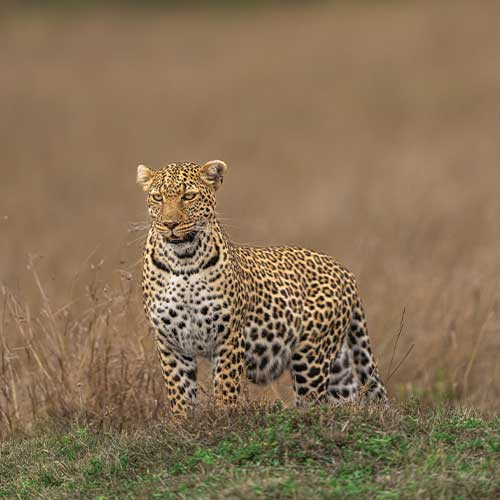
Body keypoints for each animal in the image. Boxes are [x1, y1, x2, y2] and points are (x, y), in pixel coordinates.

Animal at [137, 160, 387, 415]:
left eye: (188, 196)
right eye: (157, 197)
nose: (169, 224)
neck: (183, 262)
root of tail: (345, 271)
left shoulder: (229, 338)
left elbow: (226, 389)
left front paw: (225, 418)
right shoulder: (170, 342)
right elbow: (180, 395)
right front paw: (183, 421)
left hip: (311, 358)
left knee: (313, 404)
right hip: (339, 365)